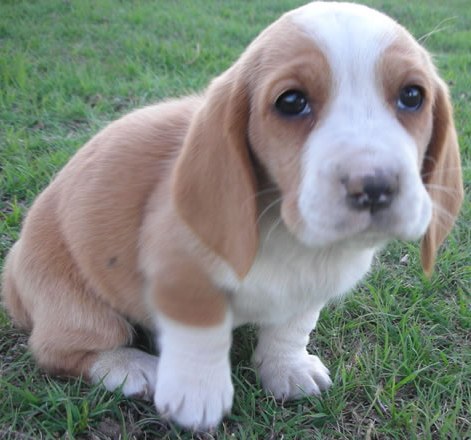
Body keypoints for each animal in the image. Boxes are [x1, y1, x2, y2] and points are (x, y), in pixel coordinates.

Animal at [0, 0, 464, 432]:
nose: (374, 187)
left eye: (412, 96)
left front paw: (287, 368)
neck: (290, 235)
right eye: (291, 102)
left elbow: (292, 327)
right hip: (84, 315)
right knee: (57, 351)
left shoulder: (310, 289)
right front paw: (196, 396)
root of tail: (13, 275)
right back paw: (132, 368)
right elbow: (200, 330)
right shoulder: (179, 273)